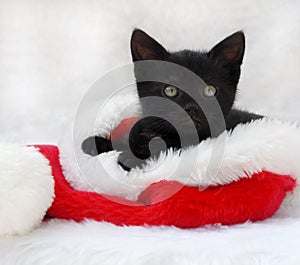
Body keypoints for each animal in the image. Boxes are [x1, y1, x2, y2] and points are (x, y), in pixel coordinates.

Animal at [82, 28, 262, 169]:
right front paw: (97, 143)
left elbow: (165, 146)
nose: (192, 108)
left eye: (209, 90)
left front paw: (131, 157)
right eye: (170, 90)